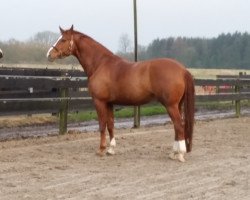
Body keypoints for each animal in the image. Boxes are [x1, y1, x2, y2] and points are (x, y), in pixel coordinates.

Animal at [47, 25, 195, 162]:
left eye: (63, 40)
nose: (49, 55)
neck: (100, 64)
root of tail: (182, 70)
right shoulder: (109, 103)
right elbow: (111, 125)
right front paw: (111, 149)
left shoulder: (99, 102)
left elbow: (102, 125)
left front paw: (101, 149)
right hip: (177, 105)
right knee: (177, 126)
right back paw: (173, 153)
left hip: (170, 105)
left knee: (179, 125)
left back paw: (180, 154)